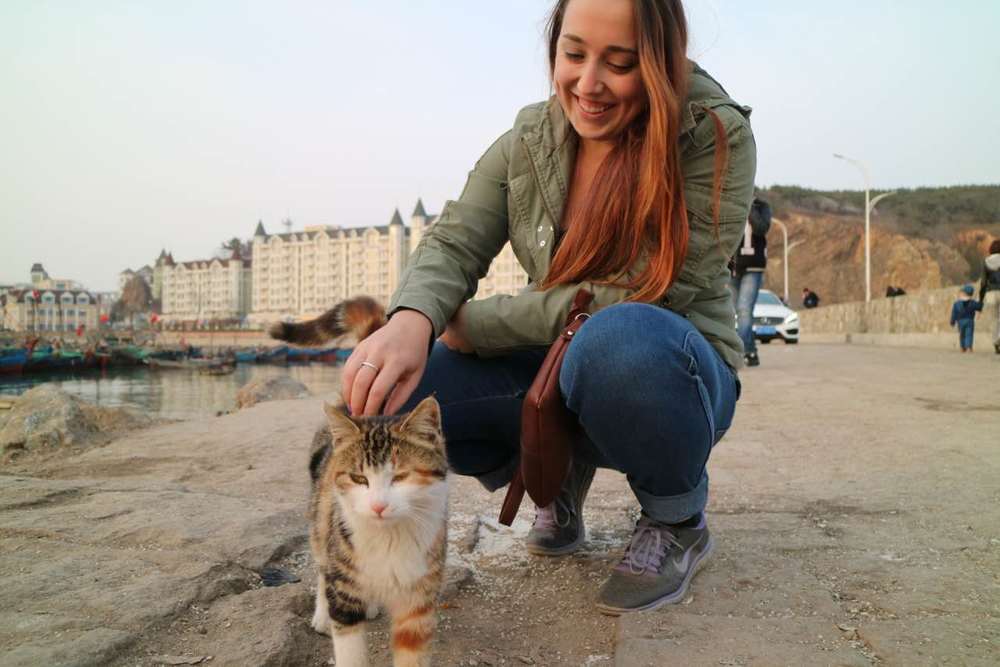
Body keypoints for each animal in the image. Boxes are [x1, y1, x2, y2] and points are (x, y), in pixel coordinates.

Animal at [304, 396, 446, 667]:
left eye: (400, 477)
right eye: (359, 479)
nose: (378, 506)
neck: (389, 536)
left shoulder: (418, 598)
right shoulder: (344, 593)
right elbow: (349, 650)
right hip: (323, 514)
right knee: (323, 561)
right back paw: (323, 614)